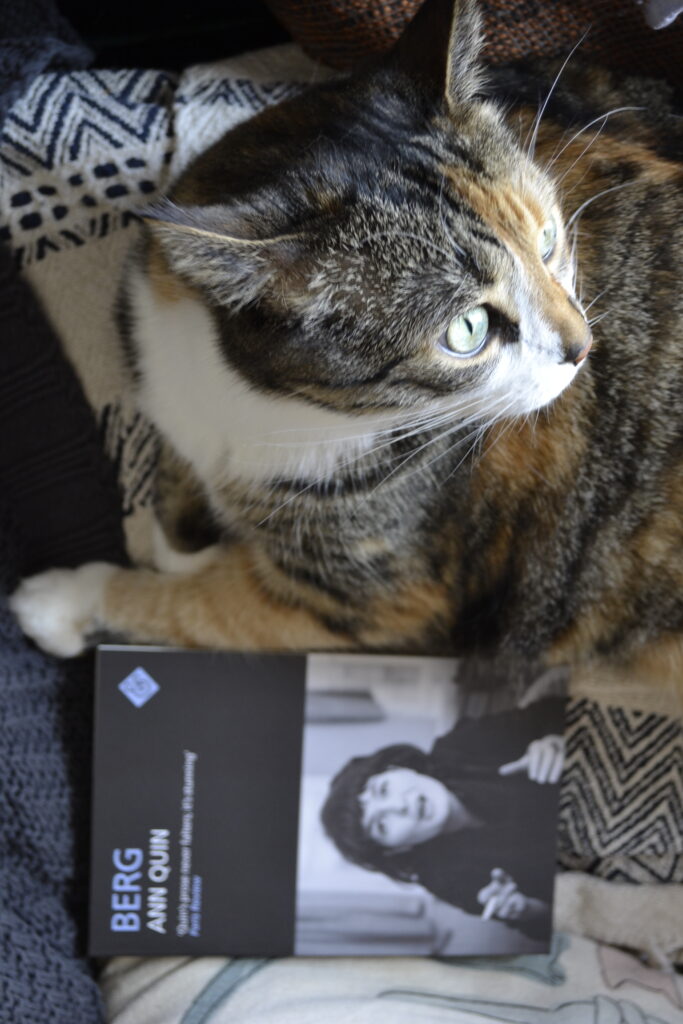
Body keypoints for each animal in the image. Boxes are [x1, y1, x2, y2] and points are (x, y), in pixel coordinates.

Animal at [7, 2, 683, 688]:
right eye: (468, 330)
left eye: (548, 242)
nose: (582, 346)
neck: (241, 391)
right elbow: (176, 485)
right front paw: (182, 538)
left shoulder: (369, 597)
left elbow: (191, 606)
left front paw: (66, 602)